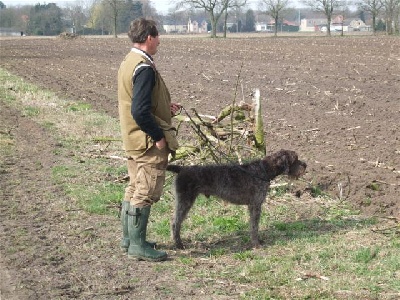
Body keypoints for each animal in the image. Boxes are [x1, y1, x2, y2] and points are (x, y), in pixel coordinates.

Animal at [166, 149, 306, 250]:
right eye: (295, 159)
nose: (305, 165)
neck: (264, 169)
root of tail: (182, 169)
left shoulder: (252, 206)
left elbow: (253, 225)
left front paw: (257, 241)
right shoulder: (256, 205)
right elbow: (254, 226)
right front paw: (256, 244)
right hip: (185, 202)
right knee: (175, 223)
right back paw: (179, 245)